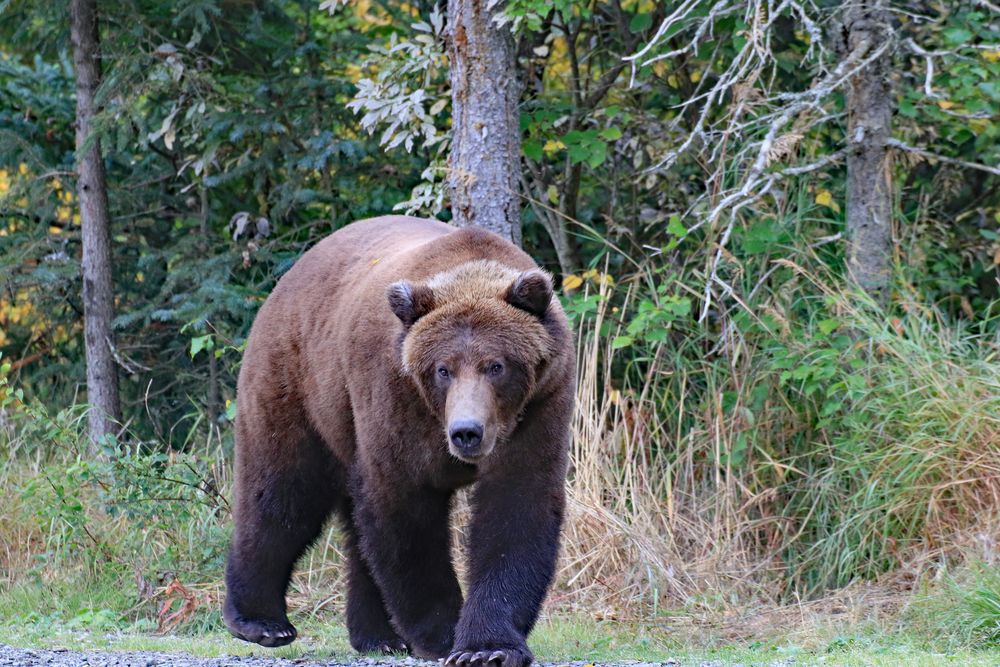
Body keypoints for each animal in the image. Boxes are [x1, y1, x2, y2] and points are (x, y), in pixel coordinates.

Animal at [223, 217, 576, 664]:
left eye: (496, 365)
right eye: (443, 369)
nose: (466, 432)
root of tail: (288, 278)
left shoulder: (540, 405)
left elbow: (516, 509)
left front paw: (487, 647)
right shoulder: (396, 397)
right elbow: (404, 508)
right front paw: (443, 634)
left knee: (353, 523)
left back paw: (377, 636)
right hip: (300, 384)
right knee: (283, 491)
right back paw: (261, 622)